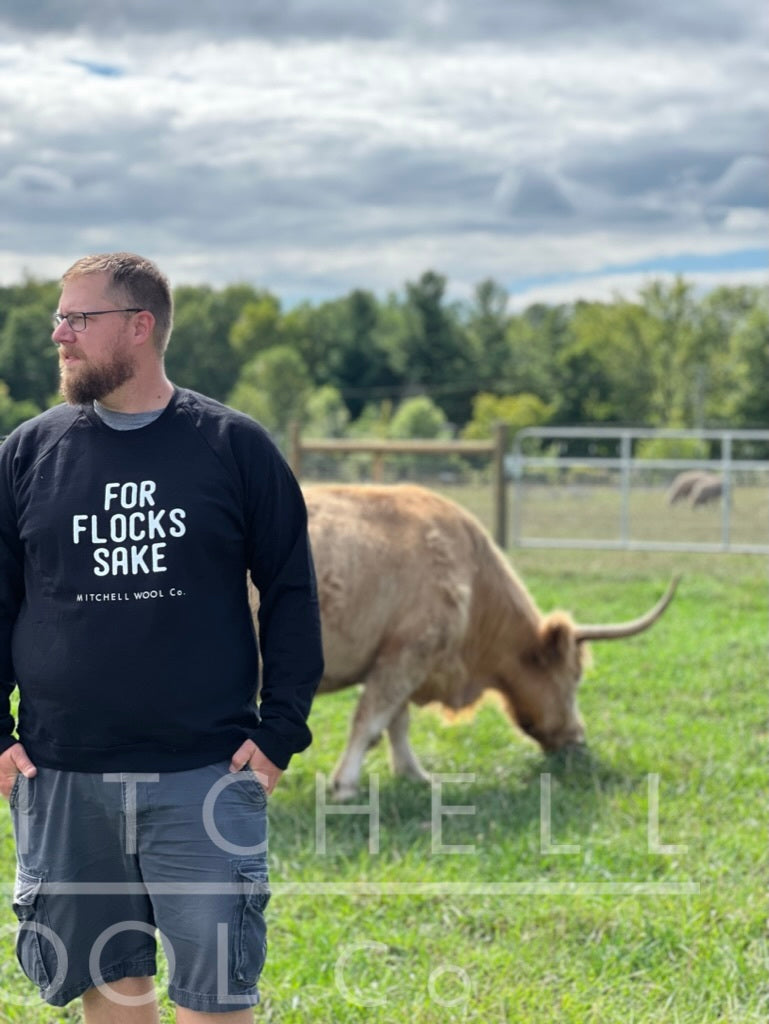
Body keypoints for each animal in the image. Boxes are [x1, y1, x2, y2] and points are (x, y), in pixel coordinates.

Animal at [301, 481, 679, 798]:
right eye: (575, 677)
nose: (578, 739)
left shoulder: (401, 663)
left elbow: (397, 724)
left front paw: (414, 774)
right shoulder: (405, 656)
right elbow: (370, 721)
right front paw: (345, 786)